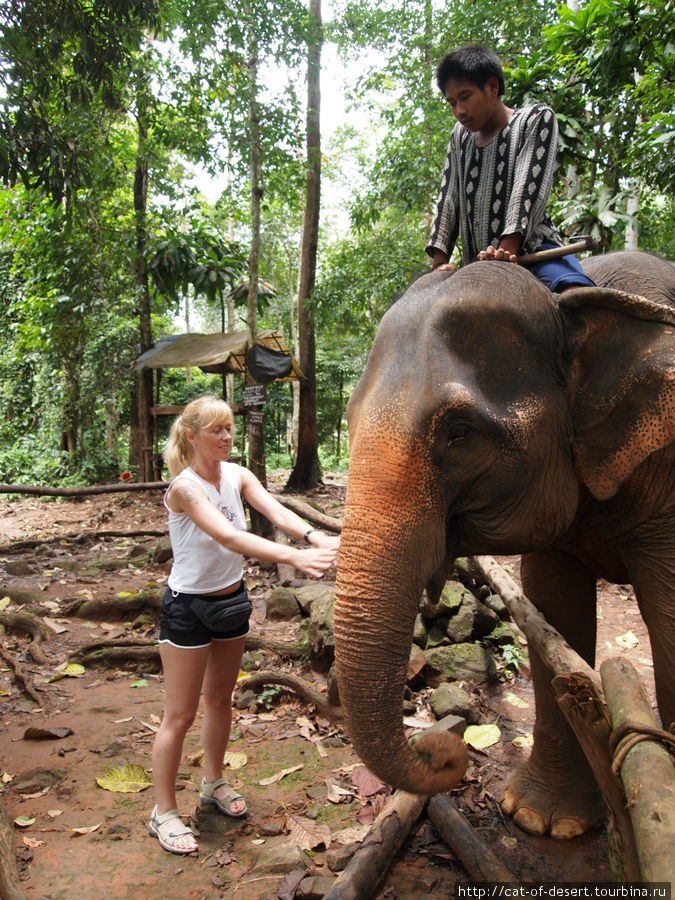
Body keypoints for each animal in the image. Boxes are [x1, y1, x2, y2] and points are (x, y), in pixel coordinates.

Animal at [336, 250, 675, 840]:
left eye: (459, 433)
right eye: (350, 418)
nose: (445, 747)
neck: (574, 306)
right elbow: (553, 613)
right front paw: (541, 820)